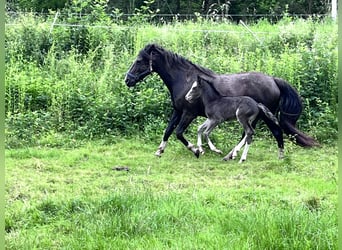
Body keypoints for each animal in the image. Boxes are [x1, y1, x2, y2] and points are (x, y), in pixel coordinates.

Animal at [125, 43, 318, 156]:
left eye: (140, 60)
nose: (127, 80)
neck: (185, 80)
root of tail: (273, 80)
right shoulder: (178, 111)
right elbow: (168, 130)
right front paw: (160, 150)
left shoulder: (189, 113)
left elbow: (179, 133)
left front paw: (196, 150)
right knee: (248, 134)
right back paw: (233, 153)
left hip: (263, 116)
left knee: (273, 132)